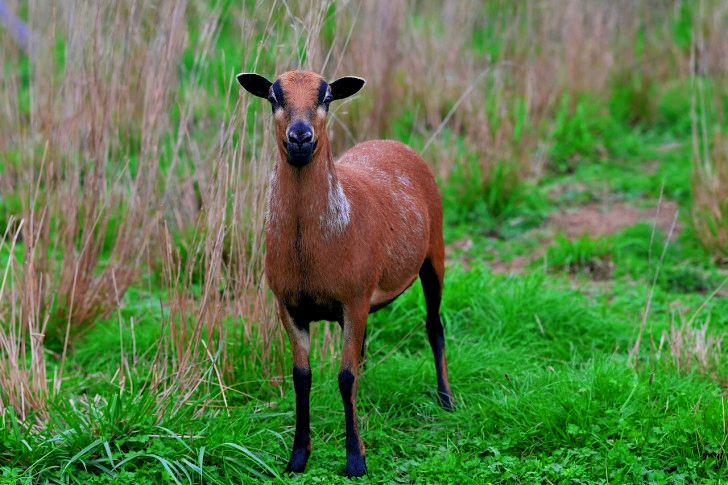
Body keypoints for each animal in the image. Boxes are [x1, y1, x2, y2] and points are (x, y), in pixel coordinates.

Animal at [237, 69, 453, 477]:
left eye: (327, 98)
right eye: (273, 97)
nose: (301, 137)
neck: (308, 253)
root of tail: (390, 141)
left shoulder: (353, 299)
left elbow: (344, 376)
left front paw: (355, 460)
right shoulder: (289, 306)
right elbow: (302, 378)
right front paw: (297, 458)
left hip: (434, 253)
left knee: (434, 326)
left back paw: (446, 400)